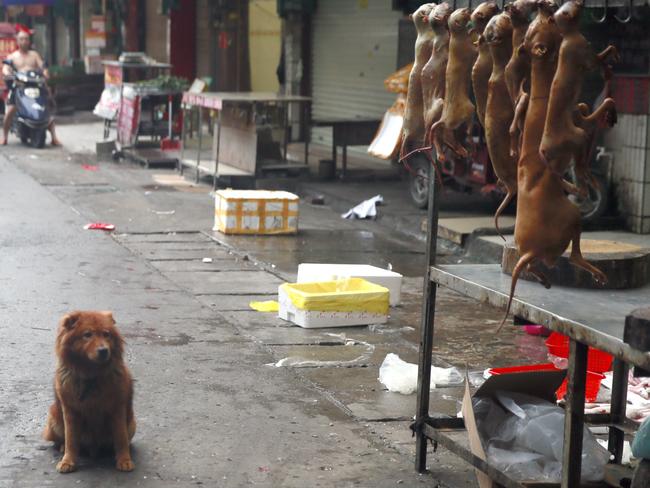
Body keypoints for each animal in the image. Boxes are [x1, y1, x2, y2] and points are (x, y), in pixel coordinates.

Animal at [42, 310, 136, 474]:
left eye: (106, 334)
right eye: (87, 334)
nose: (104, 350)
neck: (91, 375)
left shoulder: (117, 409)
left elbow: (121, 438)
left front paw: (124, 460)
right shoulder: (70, 411)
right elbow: (71, 440)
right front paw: (68, 461)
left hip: (131, 423)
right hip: (54, 416)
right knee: (61, 440)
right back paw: (62, 447)